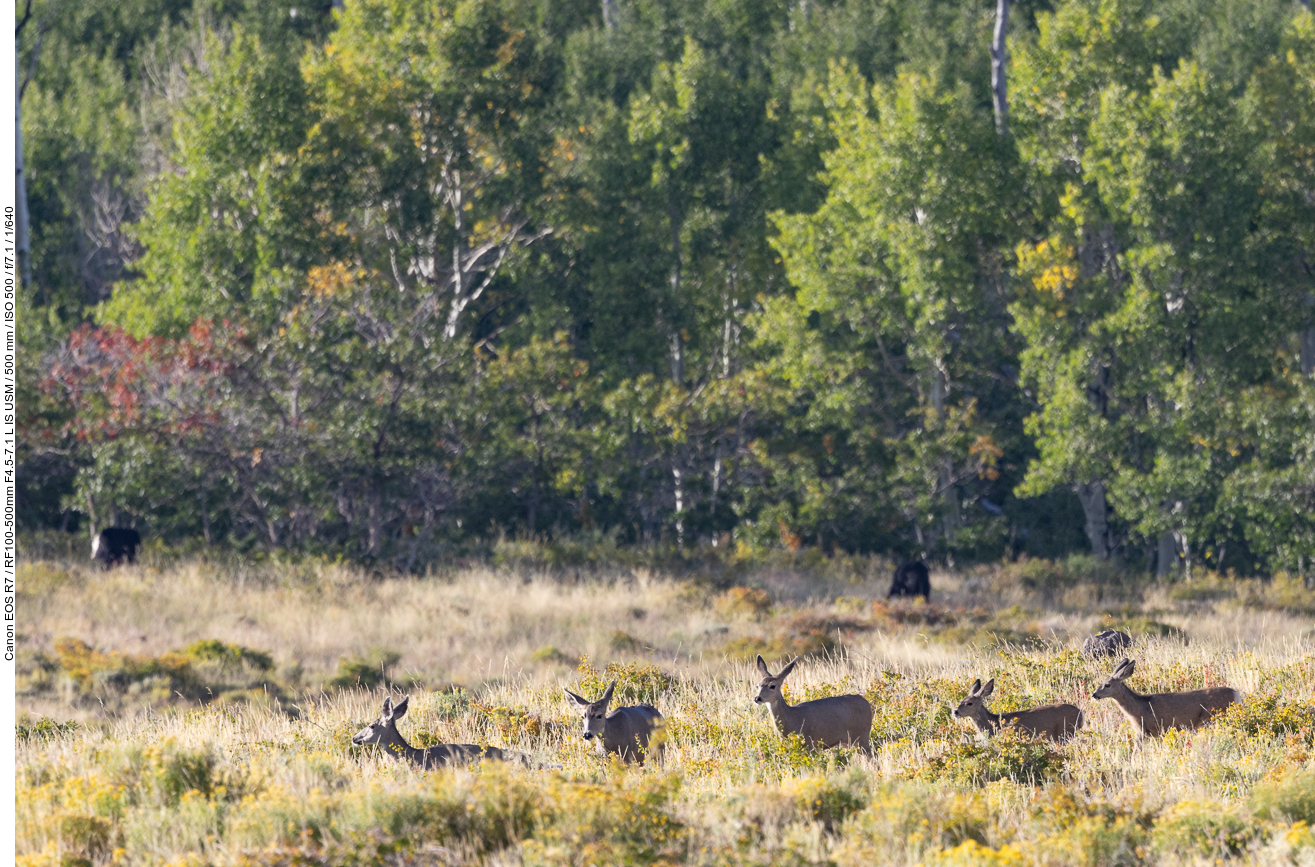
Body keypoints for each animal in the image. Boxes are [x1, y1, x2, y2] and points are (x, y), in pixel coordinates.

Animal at [952, 673, 1083, 742]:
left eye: (969, 703)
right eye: (960, 701)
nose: (955, 712)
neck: (994, 723)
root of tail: (1081, 714)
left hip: (1066, 733)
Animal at [1094, 657, 1236, 742]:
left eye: (1107, 685)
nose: (1094, 695)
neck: (1138, 708)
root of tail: (1236, 694)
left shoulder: (1149, 730)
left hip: (1211, 718)